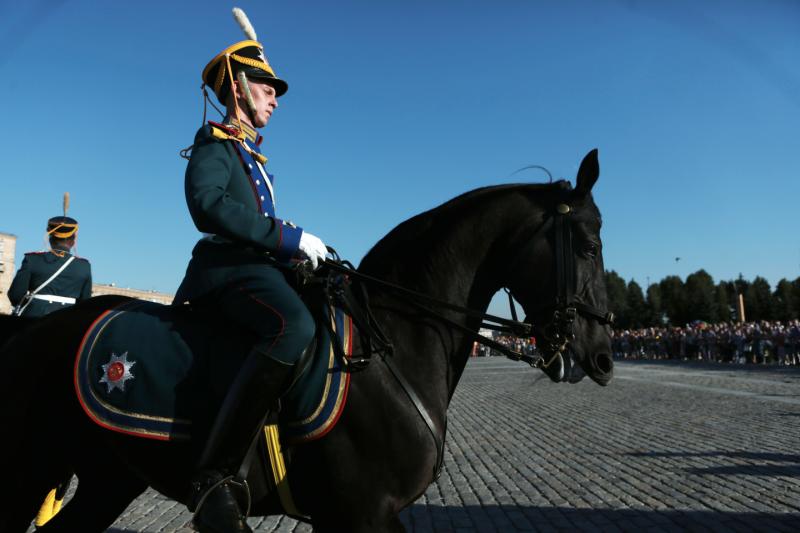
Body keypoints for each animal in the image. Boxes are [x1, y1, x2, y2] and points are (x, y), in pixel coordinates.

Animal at [0, 148, 612, 528]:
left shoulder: (362, 516)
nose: (603, 356)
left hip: (109, 480)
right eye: (588, 246)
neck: (395, 346)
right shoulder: (360, 513)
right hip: (30, 469)